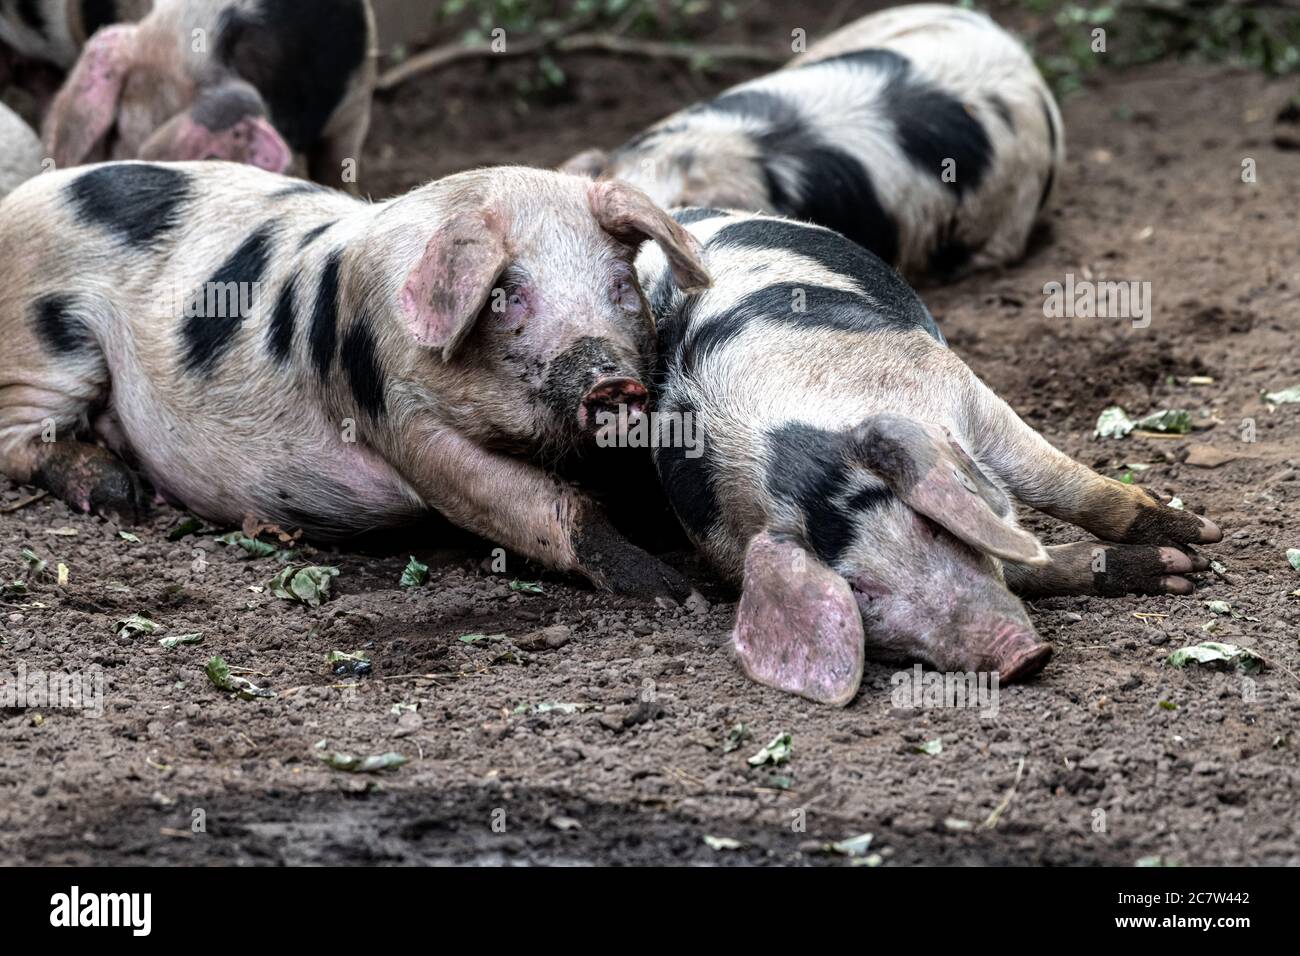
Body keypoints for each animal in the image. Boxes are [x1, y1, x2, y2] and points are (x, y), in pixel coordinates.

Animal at [0, 161, 712, 599]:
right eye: (508, 297)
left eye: (619, 287)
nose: (611, 384)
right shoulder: (398, 415)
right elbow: (532, 502)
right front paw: (674, 594)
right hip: (47, 346)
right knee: (18, 441)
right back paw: (121, 497)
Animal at [635, 209, 1221, 704]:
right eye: (859, 590)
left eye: (933, 527)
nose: (1020, 657)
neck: (795, 454)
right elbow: (1022, 562)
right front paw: (1177, 571)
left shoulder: (958, 387)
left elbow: (1058, 484)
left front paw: (1197, 543)